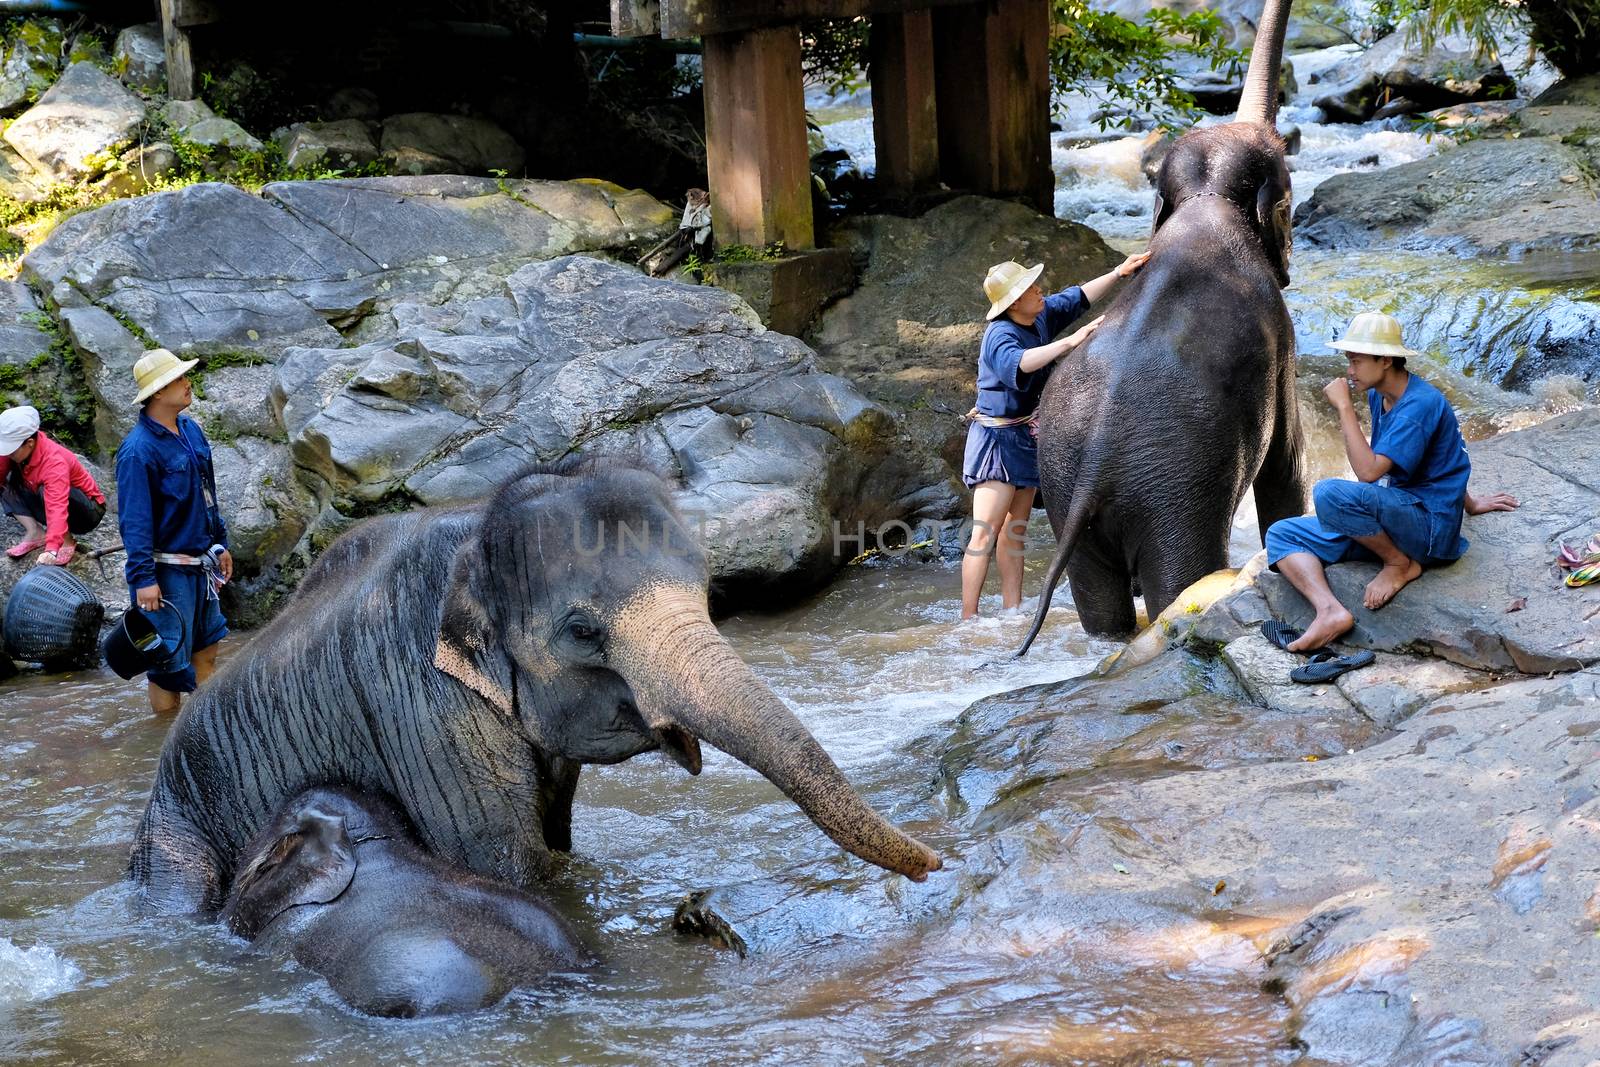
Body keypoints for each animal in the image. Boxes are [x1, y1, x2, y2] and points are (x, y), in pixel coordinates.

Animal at [137, 454, 940, 915]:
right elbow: (507, 861)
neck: (472, 533)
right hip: (178, 832)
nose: (936, 860)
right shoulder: (426, 713)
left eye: (709, 591)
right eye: (583, 632)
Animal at [1017, 0, 1305, 652]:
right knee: (1181, 578)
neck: (1206, 201)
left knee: (1099, 601)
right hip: (1177, 492)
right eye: (1288, 195)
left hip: (1063, 485)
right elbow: (1285, 461)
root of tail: (1095, 468)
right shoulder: (1281, 345)